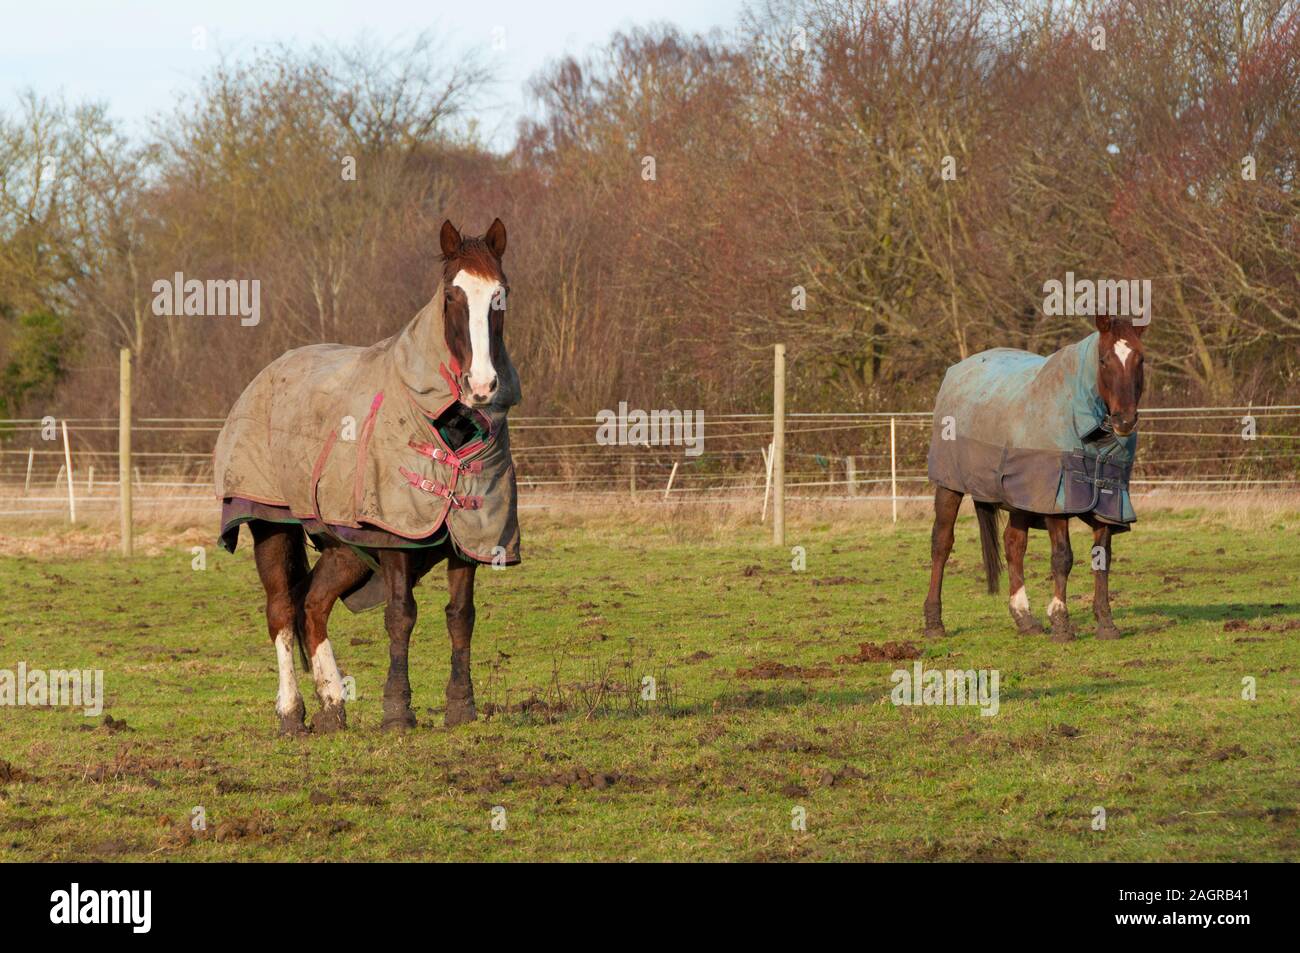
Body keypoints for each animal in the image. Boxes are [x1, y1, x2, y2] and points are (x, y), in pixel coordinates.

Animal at [214, 218, 519, 733]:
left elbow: (461, 616)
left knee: (313, 606)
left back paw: (333, 705)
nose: (481, 386)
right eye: (451, 295)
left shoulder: (471, 537)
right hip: (272, 522)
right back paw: (291, 713)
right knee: (282, 611)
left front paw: (462, 707)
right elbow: (400, 615)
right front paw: (397, 710)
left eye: (501, 293)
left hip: (345, 549)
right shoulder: (392, 535)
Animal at [922, 316, 1145, 643]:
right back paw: (934, 622)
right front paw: (1061, 623)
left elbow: (1102, 558)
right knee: (941, 543)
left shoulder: (1109, 502)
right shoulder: (1055, 498)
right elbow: (1062, 558)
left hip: (1020, 497)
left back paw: (1024, 618)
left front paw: (1106, 624)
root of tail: (958, 370)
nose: (1124, 421)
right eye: (1104, 360)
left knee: (1014, 545)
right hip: (950, 484)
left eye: (1140, 359)